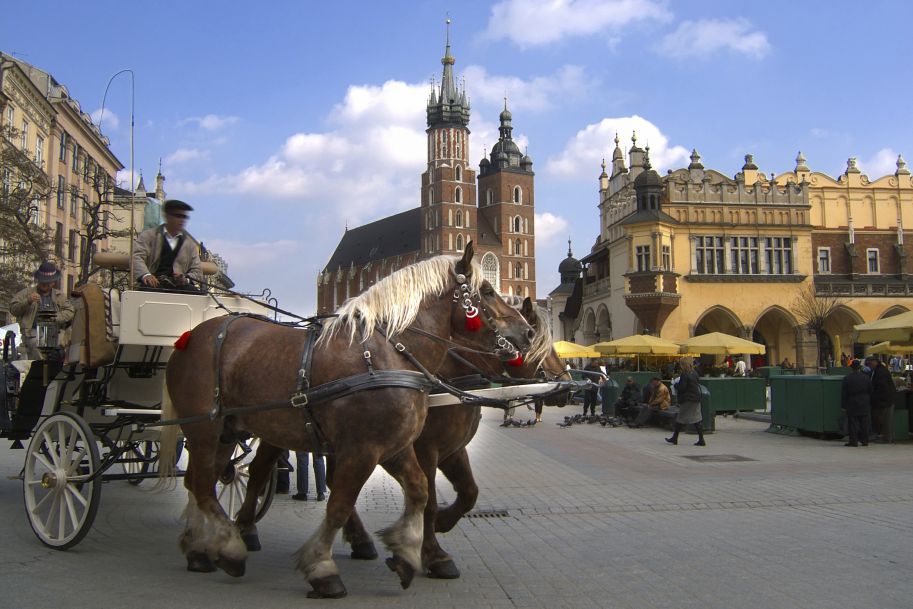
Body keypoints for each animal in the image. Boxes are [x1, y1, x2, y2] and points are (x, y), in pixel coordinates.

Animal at [156, 243, 528, 600]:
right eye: (488, 291)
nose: (524, 332)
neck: (390, 354)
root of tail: (191, 335)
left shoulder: (396, 447)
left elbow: (420, 492)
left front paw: (405, 555)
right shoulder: (364, 449)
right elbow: (339, 504)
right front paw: (323, 569)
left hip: (228, 430)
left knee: (201, 480)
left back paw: (199, 549)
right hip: (205, 429)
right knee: (205, 484)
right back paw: (230, 546)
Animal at [338, 296, 568, 576]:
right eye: (537, 341)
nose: (566, 384)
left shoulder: (454, 451)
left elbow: (469, 492)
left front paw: (441, 523)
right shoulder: (425, 452)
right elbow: (429, 501)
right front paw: (434, 555)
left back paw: (360, 542)